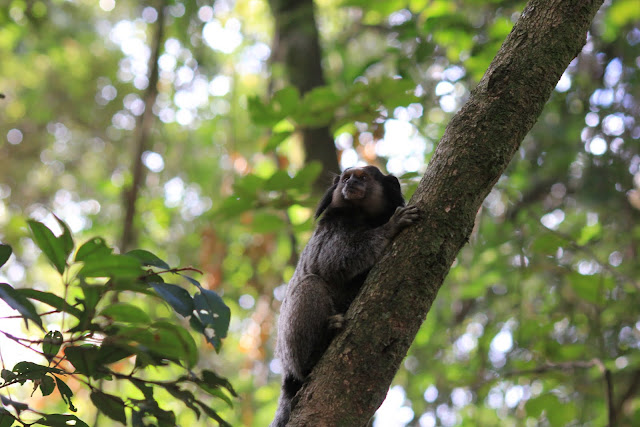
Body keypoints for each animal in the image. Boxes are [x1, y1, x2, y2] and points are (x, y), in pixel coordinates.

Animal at [272, 166, 418, 426]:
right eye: (346, 178)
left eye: (362, 177)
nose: (350, 183)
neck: (364, 217)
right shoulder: (333, 226)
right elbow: (331, 260)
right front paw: (390, 228)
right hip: (290, 349)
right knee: (310, 284)